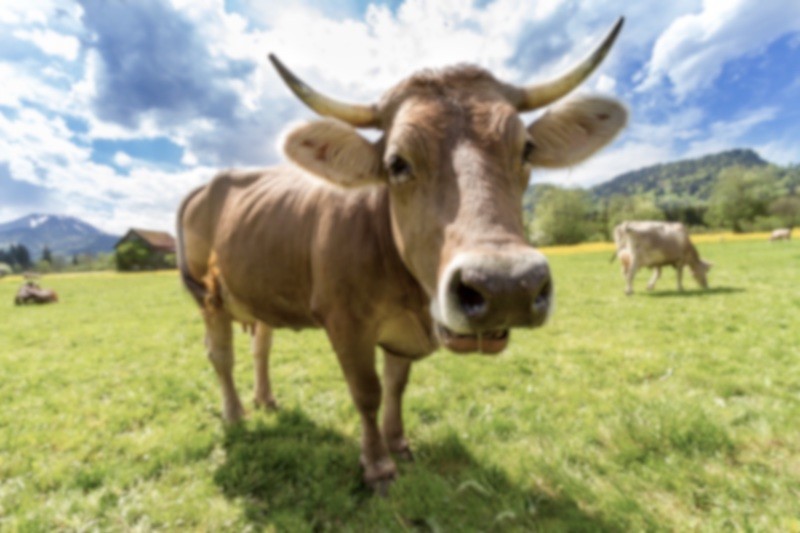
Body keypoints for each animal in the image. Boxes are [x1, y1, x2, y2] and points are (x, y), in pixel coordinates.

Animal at [178, 18, 628, 492]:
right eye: (397, 163)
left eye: (527, 149)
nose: (507, 287)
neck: (409, 294)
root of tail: (211, 182)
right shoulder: (345, 323)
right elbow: (367, 392)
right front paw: (377, 464)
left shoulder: (401, 334)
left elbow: (396, 386)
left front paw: (398, 443)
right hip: (208, 296)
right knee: (220, 355)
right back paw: (235, 414)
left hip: (258, 290)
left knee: (260, 345)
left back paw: (265, 399)